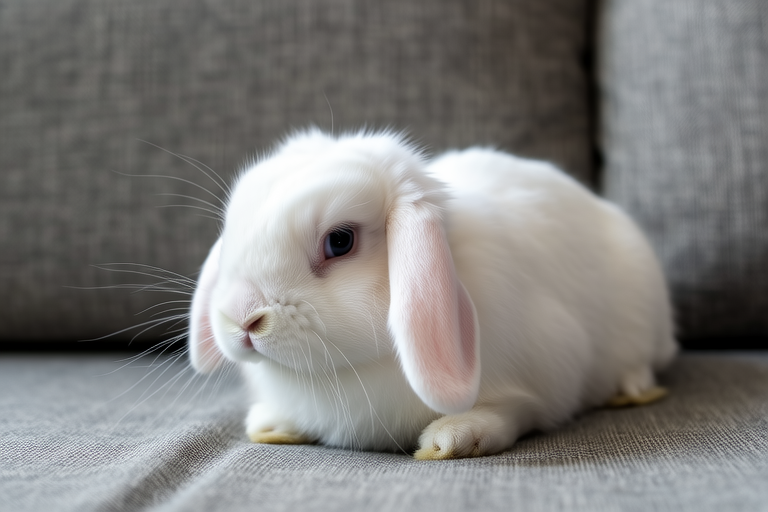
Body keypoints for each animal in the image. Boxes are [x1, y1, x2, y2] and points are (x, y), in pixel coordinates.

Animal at [187, 129, 677, 459]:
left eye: (340, 241)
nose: (241, 318)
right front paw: (272, 424)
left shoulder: (549, 374)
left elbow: (517, 410)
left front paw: (454, 437)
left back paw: (632, 390)